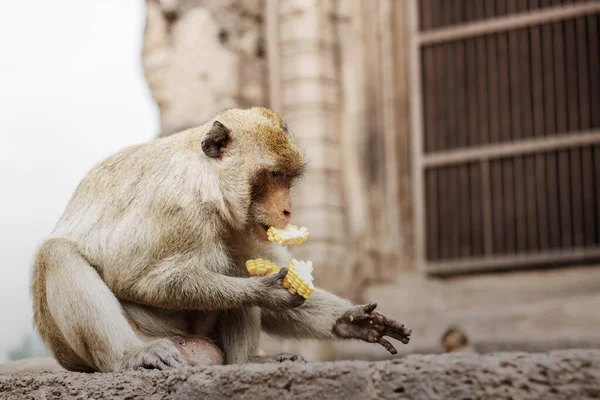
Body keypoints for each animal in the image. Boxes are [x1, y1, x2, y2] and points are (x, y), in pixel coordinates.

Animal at [29, 106, 412, 372]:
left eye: (288, 179)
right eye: (273, 174)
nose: (287, 211)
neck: (208, 182)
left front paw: (352, 322)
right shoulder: (177, 209)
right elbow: (136, 279)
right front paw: (263, 291)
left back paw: (247, 361)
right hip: (97, 344)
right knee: (56, 253)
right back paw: (132, 355)